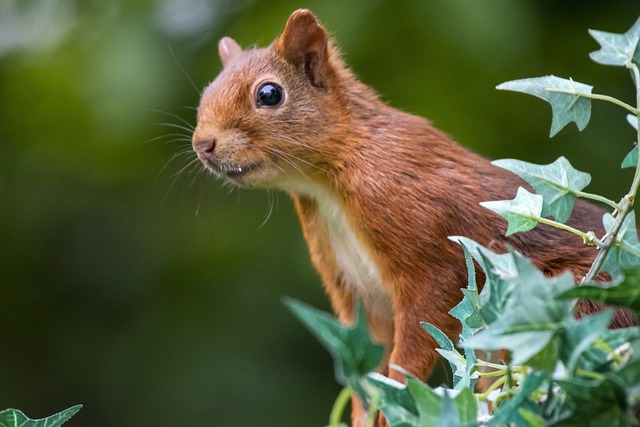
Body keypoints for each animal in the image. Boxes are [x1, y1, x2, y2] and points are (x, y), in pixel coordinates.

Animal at [192, 8, 632, 426]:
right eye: (207, 90)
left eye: (269, 94)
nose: (202, 144)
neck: (328, 181)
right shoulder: (356, 291)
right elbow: (366, 365)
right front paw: (364, 415)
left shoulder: (422, 243)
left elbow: (416, 340)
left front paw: (397, 406)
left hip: (570, 300)